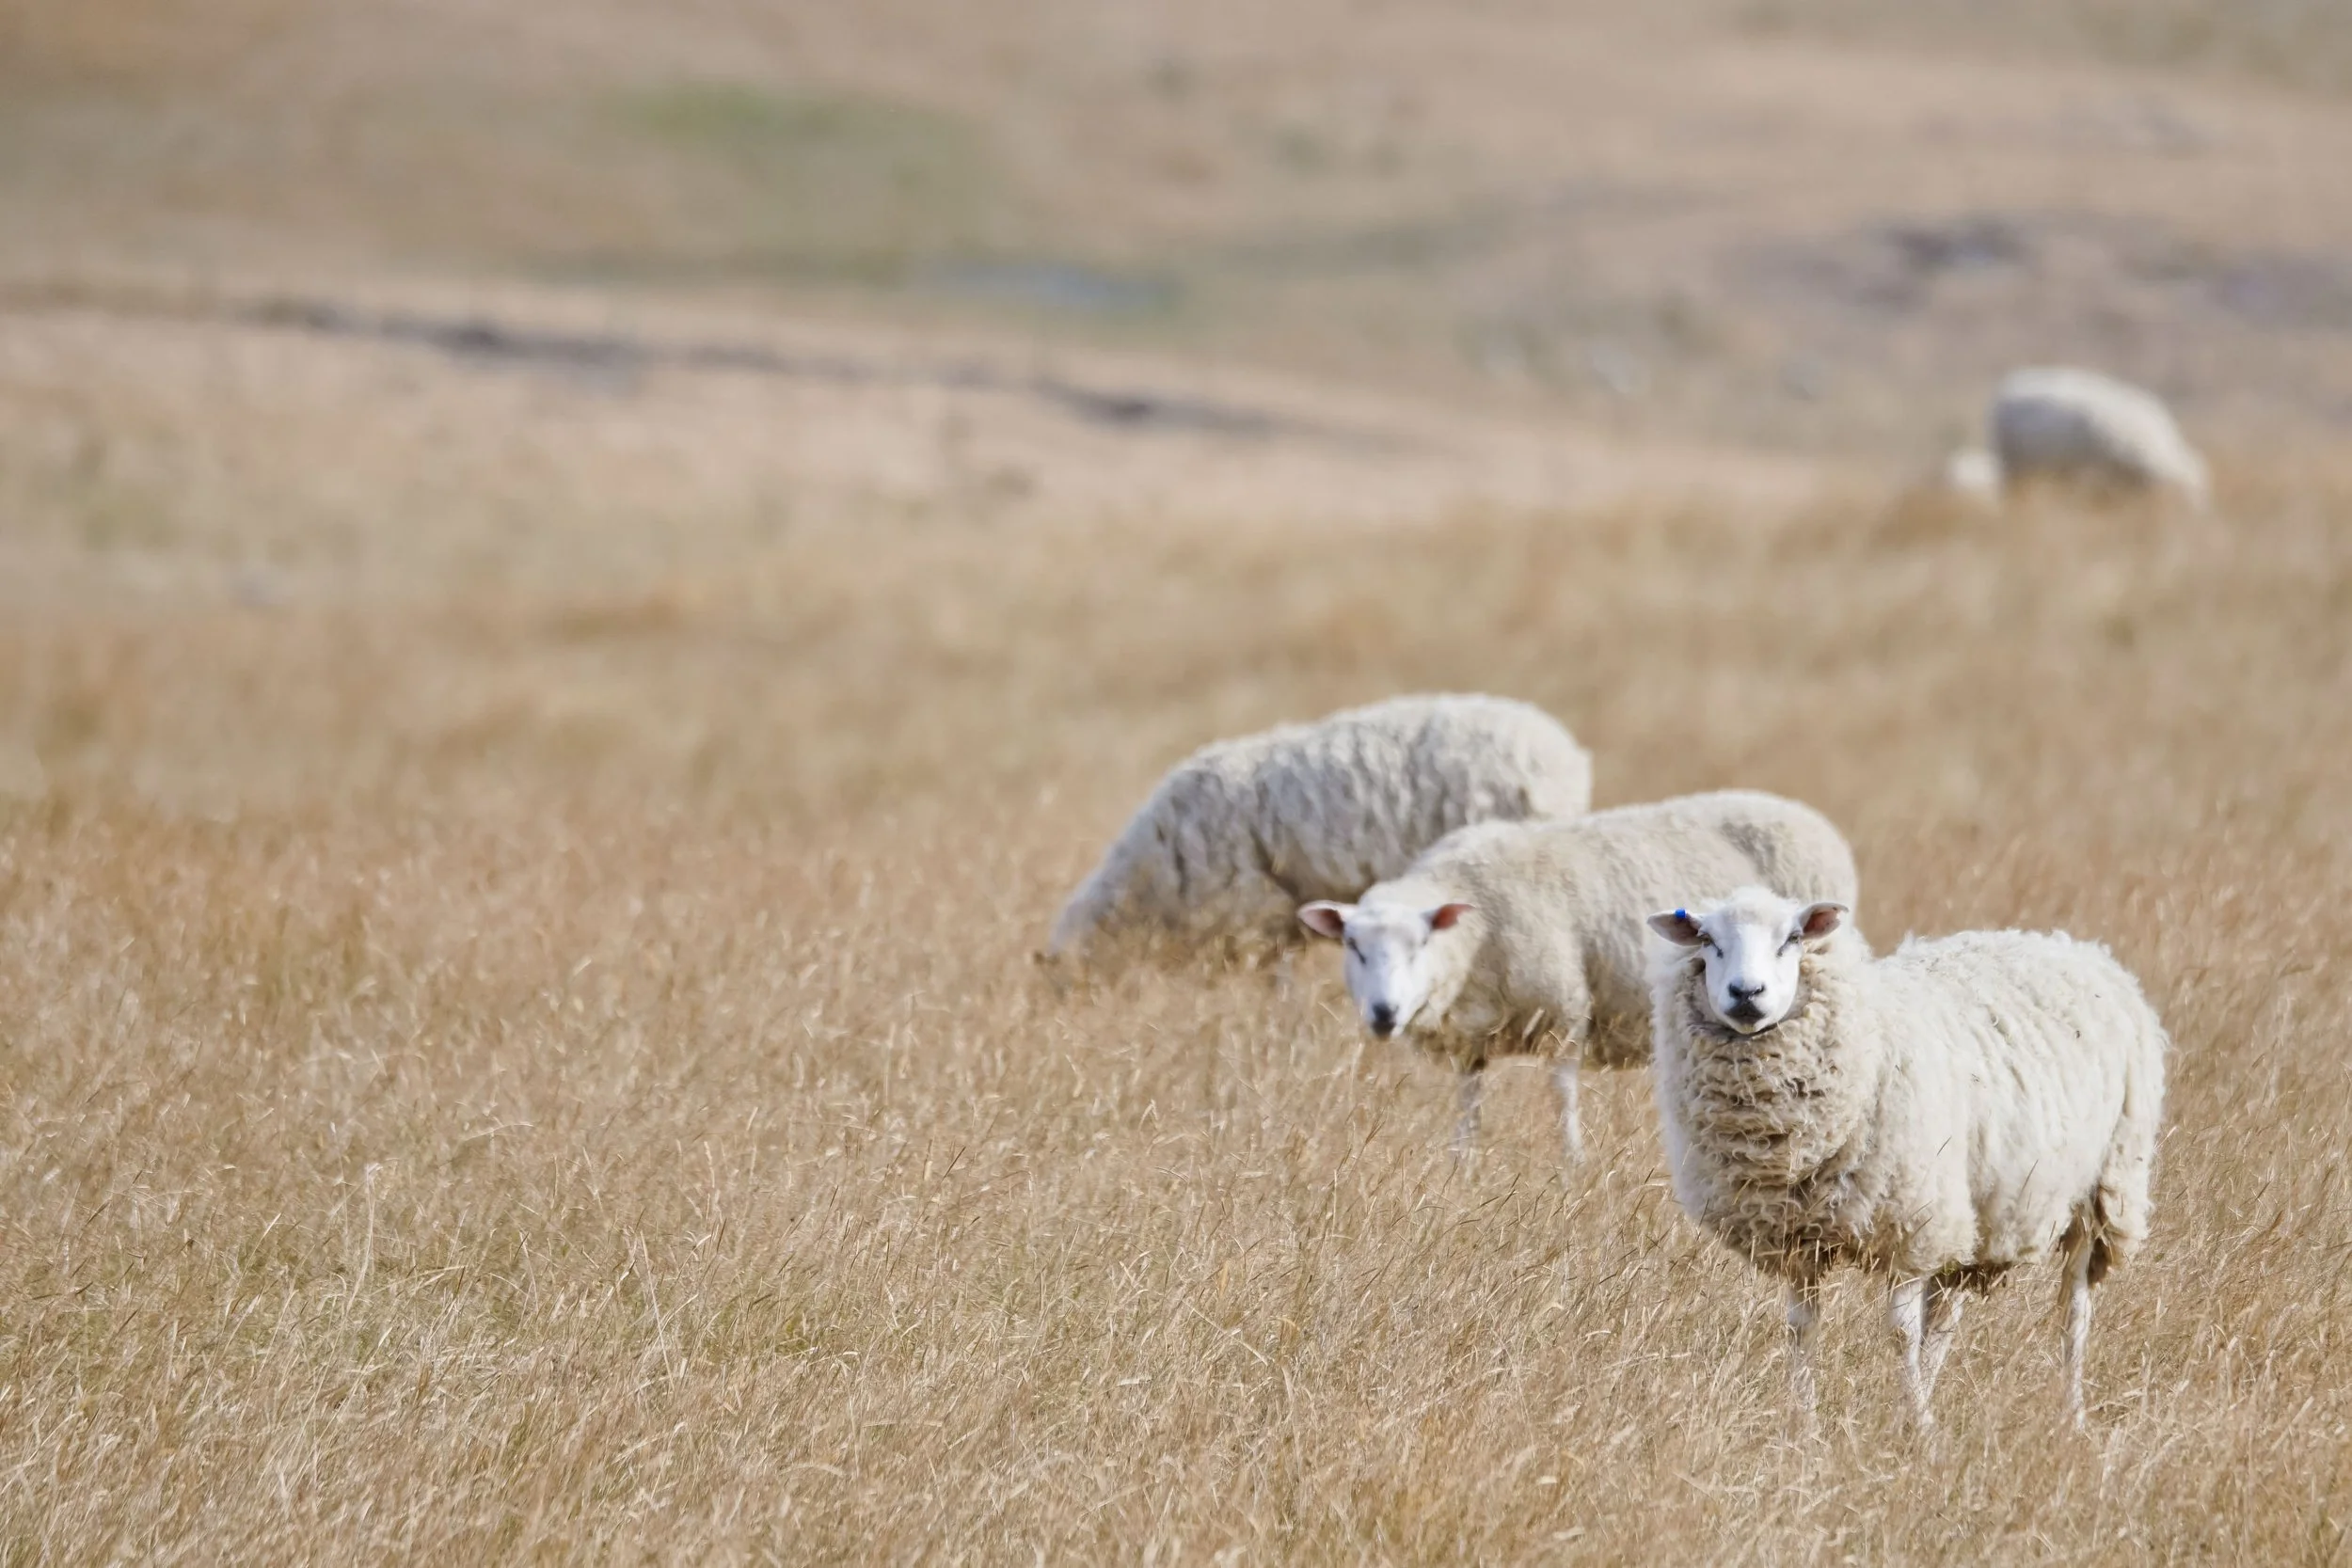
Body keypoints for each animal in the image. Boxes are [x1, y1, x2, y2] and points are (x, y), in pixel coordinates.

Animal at [1296, 791, 1857, 1163]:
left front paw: (1573, 1163)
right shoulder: (1470, 1038)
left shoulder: (1562, 1010)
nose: (1383, 1013)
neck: (1475, 923)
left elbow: (1560, 1095)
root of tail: (1800, 811)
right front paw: (1463, 1160)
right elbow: (1468, 1103)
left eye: (1419, 945)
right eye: (1352, 946)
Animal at [1646, 886, 2167, 1432]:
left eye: (1792, 939)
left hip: (2103, 1188)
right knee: (1945, 1319)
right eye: (1708, 941)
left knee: (2073, 1310)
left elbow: (1900, 1333)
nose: (1746, 993)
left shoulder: (1909, 1224)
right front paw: (1805, 1425)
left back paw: (2072, 1411)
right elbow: (1800, 1328)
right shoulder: (1799, 1240)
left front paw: (1917, 1429)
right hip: (1973, 1209)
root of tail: (2076, 948)